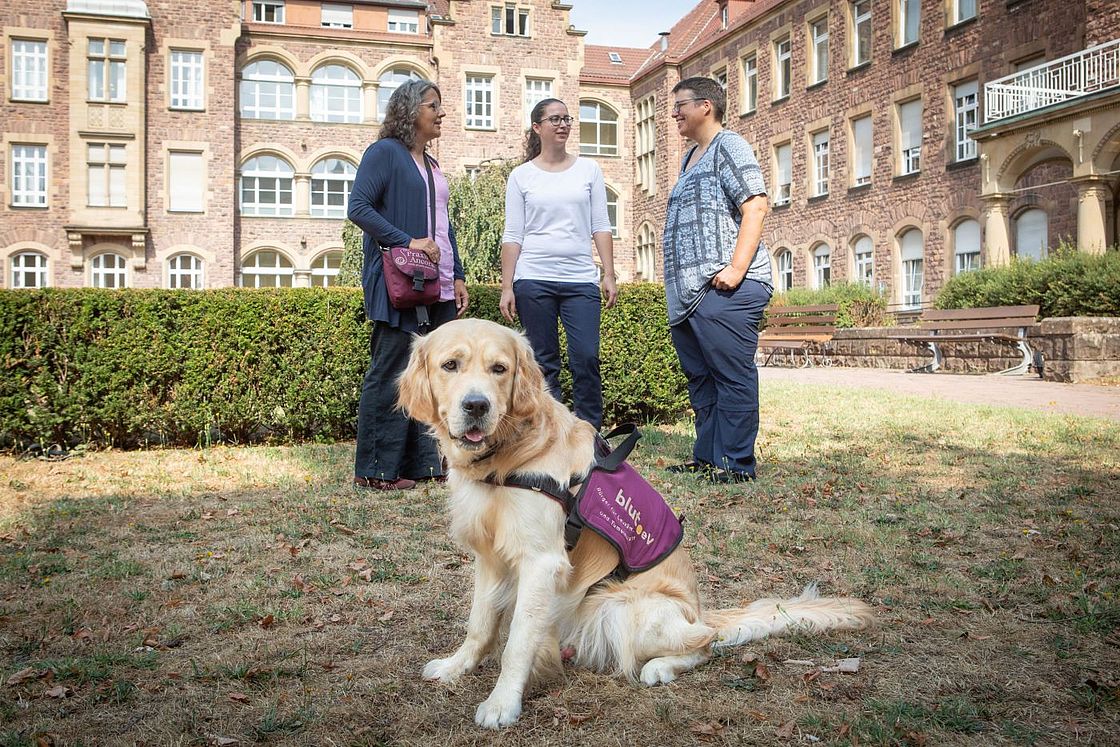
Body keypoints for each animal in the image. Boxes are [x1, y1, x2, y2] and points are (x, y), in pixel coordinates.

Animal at [396, 320, 873, 730]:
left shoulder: (541, 561)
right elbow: (479, 625)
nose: (476, 406)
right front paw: (457, 667)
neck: (508, 457)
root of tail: (700, 610)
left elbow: (516, 642)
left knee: (704, 643)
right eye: (450, 365)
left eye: (500, 369)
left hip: (622, 609)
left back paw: (660, 667)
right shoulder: (490, 556)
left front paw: (502, 704)